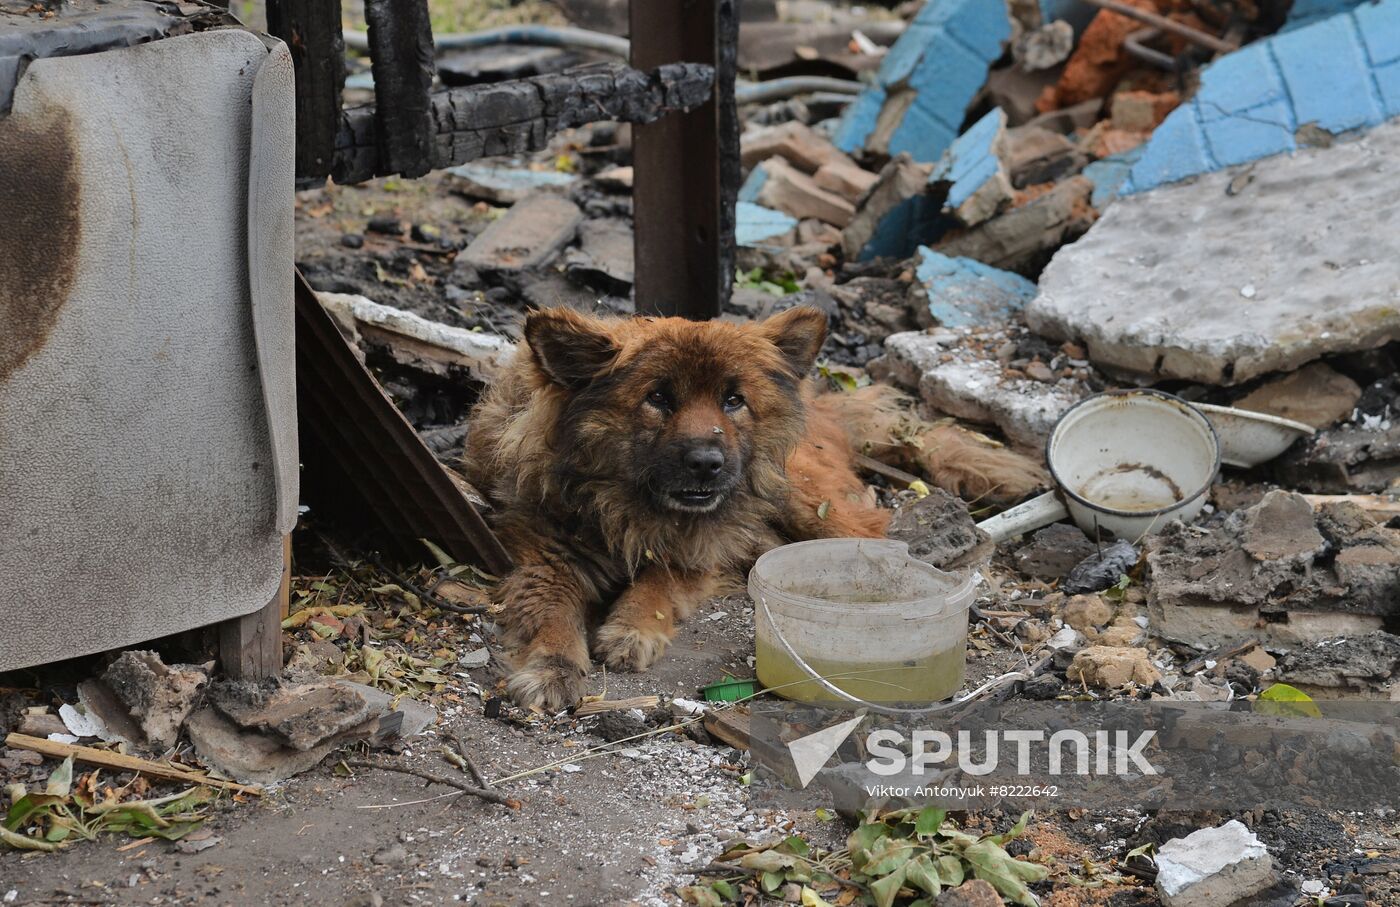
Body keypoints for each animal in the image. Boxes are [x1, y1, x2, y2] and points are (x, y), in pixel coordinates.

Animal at [470, 306, 884, 708]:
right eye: (657, 398)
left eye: (733, 400)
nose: (706, 463)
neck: (626, 510)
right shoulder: (544, 555)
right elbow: (551, 609)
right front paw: (552, 667)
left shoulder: (703, 549)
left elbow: (661, 583)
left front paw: (632, 629)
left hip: (799, 497)